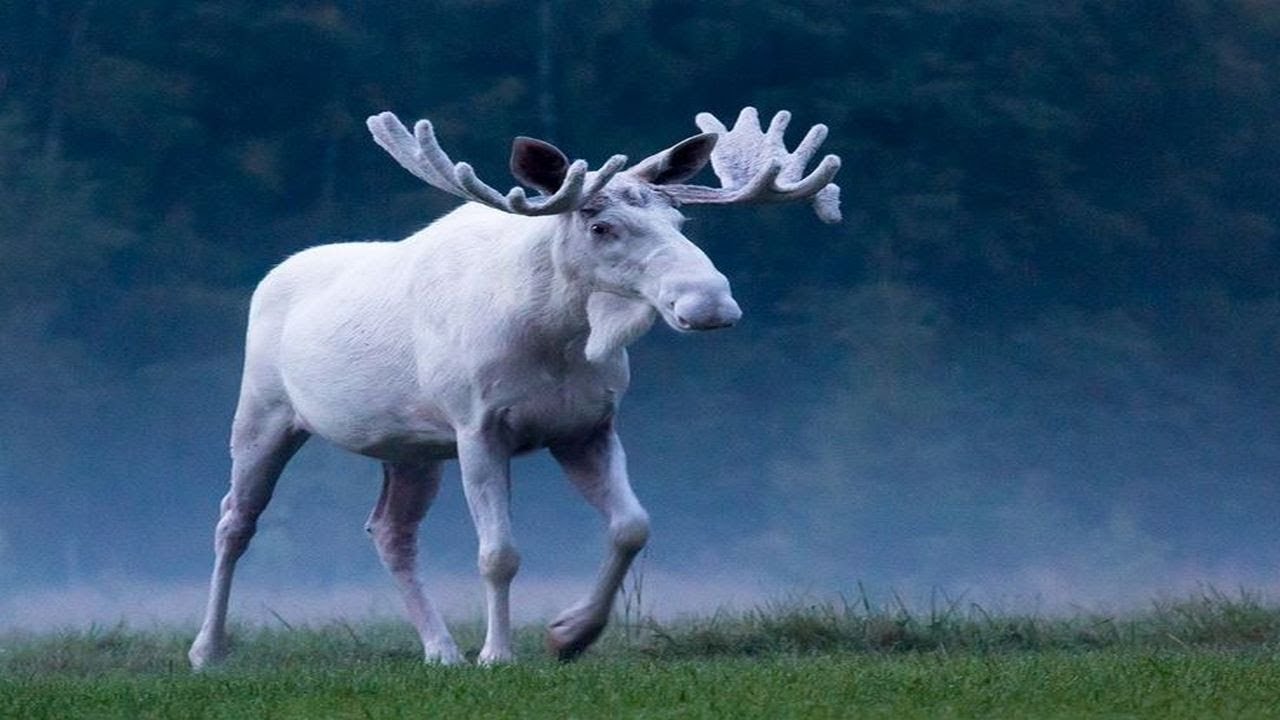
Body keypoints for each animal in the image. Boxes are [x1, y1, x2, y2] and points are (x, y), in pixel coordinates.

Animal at [188, 107, 841, 669]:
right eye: (601, 225)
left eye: (681, 221)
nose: (710, 303)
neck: (555, 339)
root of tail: (271, 275)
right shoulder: (478, 427)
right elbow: (499, 554)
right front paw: (497, 654)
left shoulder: (586, 427)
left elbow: (632, 526)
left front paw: (569, 634)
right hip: (264, 413)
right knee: (233, 521)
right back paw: (207, 651)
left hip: (413, 446)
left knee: (391, 531)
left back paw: (440, 650)